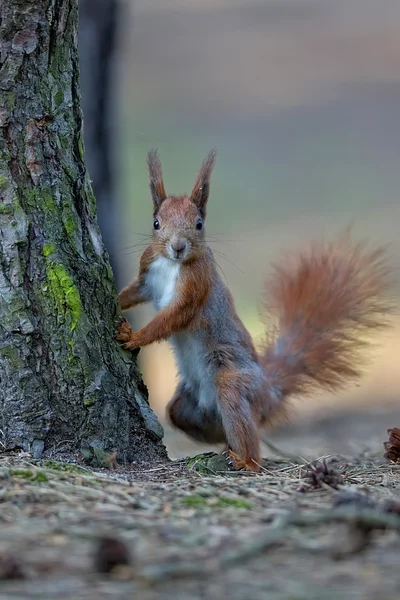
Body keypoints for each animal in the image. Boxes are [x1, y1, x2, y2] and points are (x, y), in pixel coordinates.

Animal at [116, 149, 394, 474]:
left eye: (199, 224)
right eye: (156, 223)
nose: (178, 247)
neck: (171, 264)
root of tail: (268, 392)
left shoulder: (195, 289)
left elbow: (172, 318)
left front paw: (134, 336)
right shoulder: (147, 275)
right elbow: (135, 292)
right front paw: (118, 301)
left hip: (234, 384)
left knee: (249, 433)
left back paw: (244, 459)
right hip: (187, 407)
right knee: (199, 417)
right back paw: (225, 446)